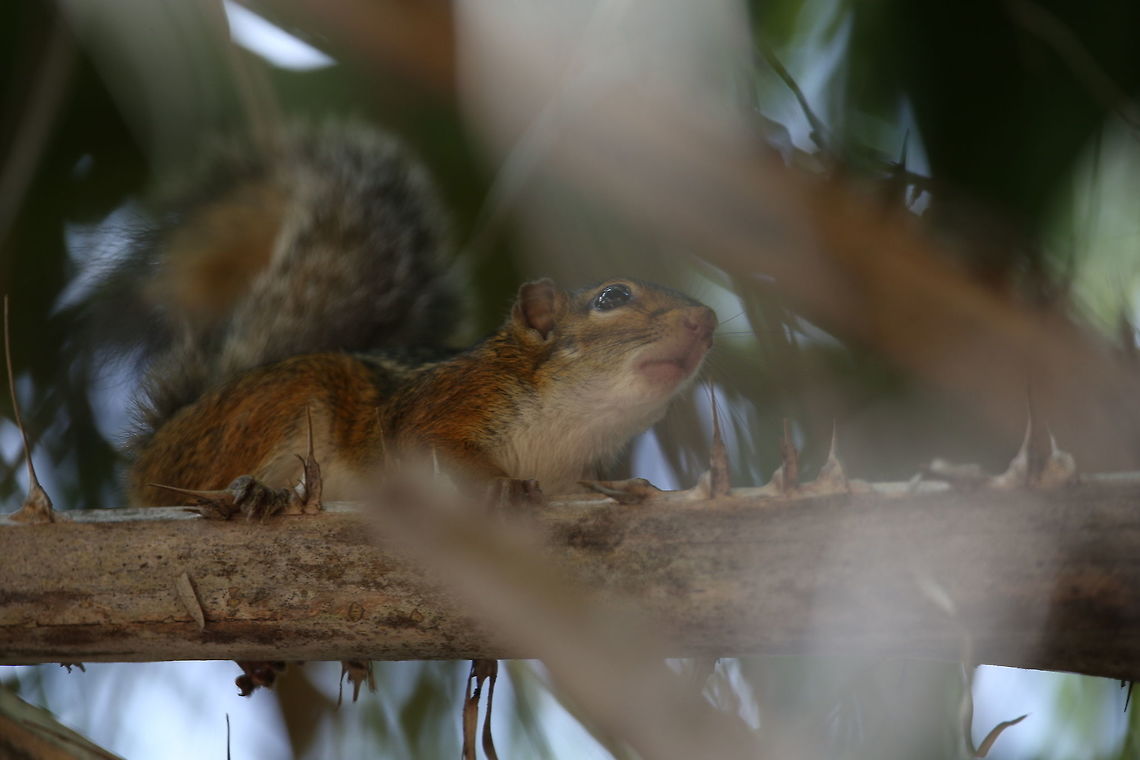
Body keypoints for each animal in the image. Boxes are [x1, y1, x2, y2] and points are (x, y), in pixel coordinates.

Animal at [107, 123, 716, 512]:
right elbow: (432, 442)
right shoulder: (452, 398)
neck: (571, 424)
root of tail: (160, 443)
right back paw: (249, 491)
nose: (707, 322)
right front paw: (501, 486)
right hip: (275, 406)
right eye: (612, 297)